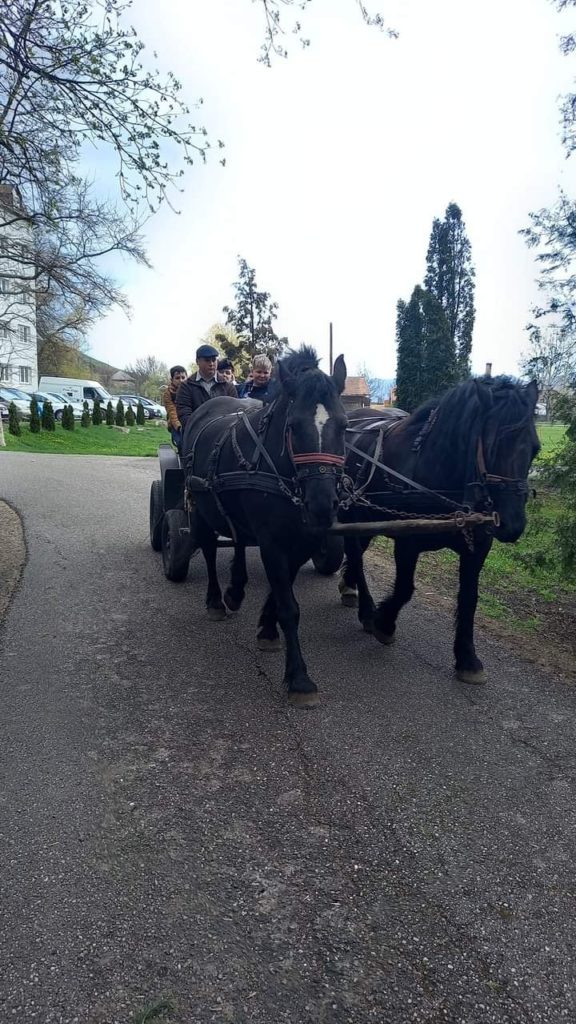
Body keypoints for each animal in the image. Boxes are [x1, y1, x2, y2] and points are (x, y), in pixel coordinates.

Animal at [182, 348, 344, 708]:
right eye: (294, 426)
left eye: (344, 425)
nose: (322, 505)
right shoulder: (272, 542)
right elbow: (289, 606)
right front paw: (299, 678)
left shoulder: (301, 542)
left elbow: (280, 592)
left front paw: (267, 630)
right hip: (200, 507)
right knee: (209, 548)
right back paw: (216, 600)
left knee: (239, 540)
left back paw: (235, 588)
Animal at [336, 374, 537, 679]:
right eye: (493, 446)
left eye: (535, 449)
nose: (513, 525)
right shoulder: (407, 542)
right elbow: (405, 588)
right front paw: (384, 623)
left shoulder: (478, 546)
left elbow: (469, 598)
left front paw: (467, 658)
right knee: (357, 556)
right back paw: (367, 611)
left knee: (356, 550)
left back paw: (349, 588)